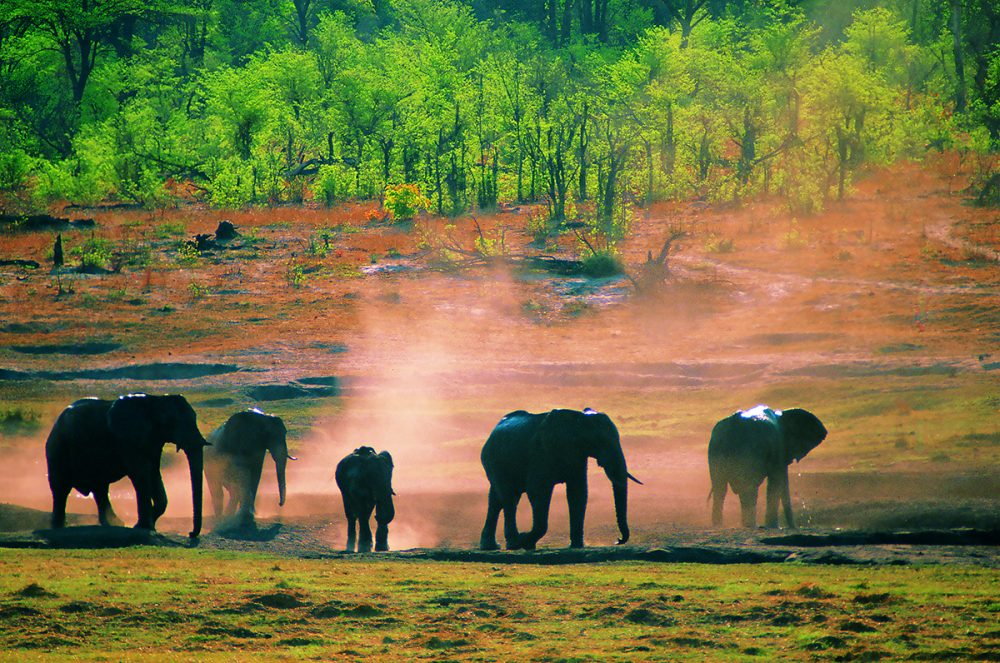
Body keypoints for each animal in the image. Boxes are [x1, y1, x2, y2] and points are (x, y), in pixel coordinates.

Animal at [46, 394, 206, 540]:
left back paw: (115, 523)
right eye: (171, 421)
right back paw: (58, 527)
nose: (190, 534)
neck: (155, 402)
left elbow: (154, 473)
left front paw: (146, 525)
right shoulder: (127, 440)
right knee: (61, 488)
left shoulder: (153, 441)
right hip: (57, 449)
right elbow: (141, 472)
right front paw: (144, 527)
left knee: (100, 488)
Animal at [476, 408, 640, 552]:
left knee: (496, 500)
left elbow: (578, 493)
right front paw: (525, 541)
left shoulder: (578, 455)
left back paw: (492, 546)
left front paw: (576, 546)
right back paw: (513, 544)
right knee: (509, 498)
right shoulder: (541, 452)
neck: (578, 419)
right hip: (494, 462)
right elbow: (537, 491)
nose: (617, 540)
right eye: (599, 440)